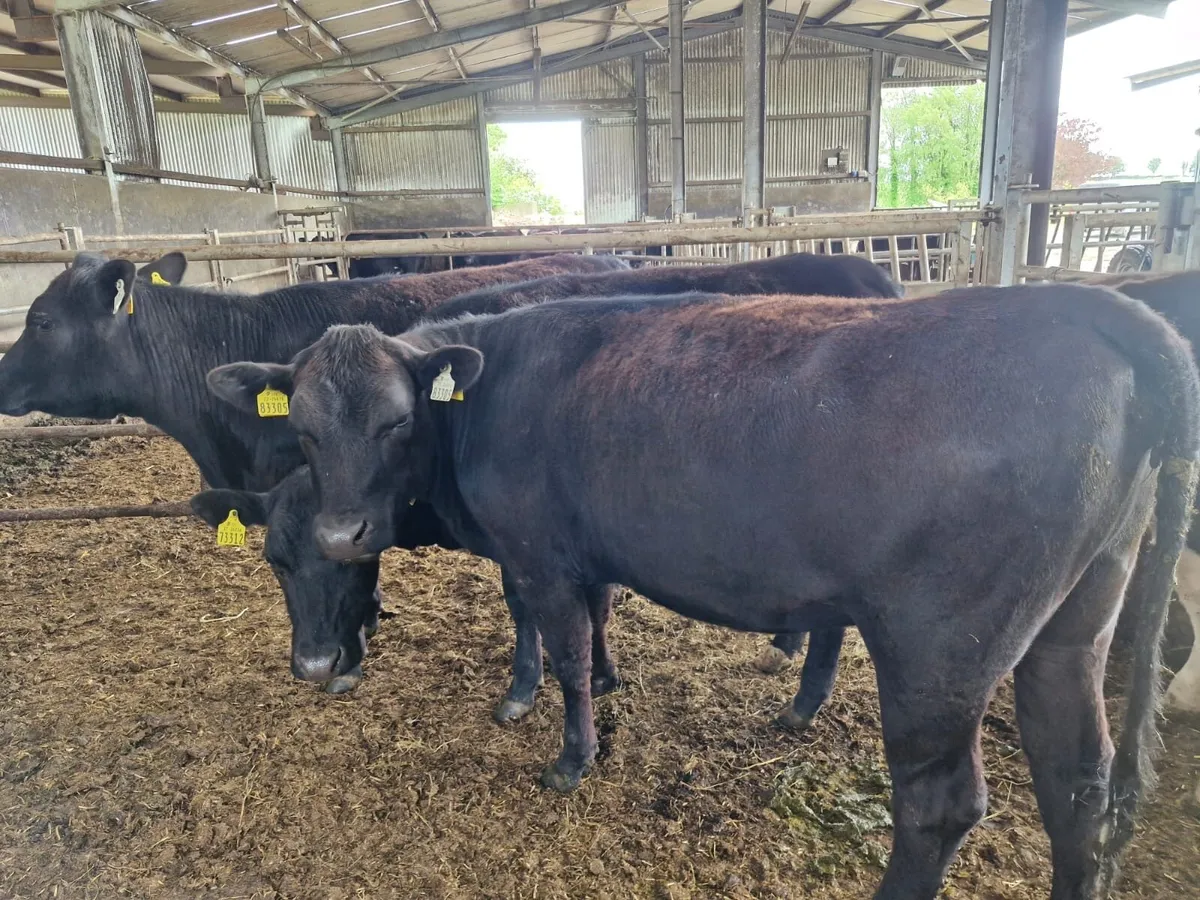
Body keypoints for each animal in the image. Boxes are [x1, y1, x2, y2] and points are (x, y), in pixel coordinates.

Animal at [195, 253, 902, 722]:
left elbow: (532, 609)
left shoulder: (530, 541)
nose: (315, 666)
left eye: (396, 422)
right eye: (277, 562)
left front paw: (523, 692)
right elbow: (593, 606)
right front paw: (604, 673)